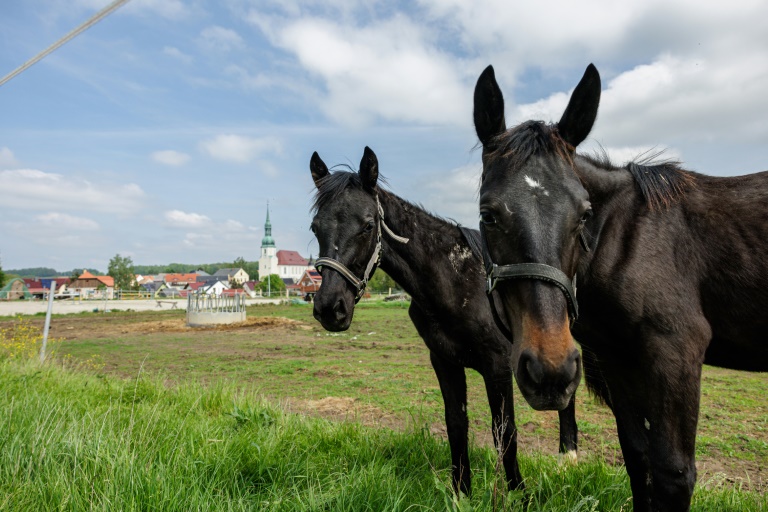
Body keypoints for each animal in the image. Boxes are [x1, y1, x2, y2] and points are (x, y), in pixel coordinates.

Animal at [306, 148, 576, 496]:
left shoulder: (499, 366)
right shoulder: (445, 361)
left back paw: (569, 456)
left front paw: (519, 493)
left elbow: (505, 432)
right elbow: (456, 425)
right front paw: (462, 492)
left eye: (367, 225)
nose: (330, 308)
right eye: (315, 227)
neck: (457, 280)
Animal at [474, 64, 768, 512]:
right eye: (487, 215)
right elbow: (637, 456)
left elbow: (673, 473)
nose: (549, 371)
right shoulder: (617, 357)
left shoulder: (676, 351)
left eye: (584, 214)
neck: (627, 239)